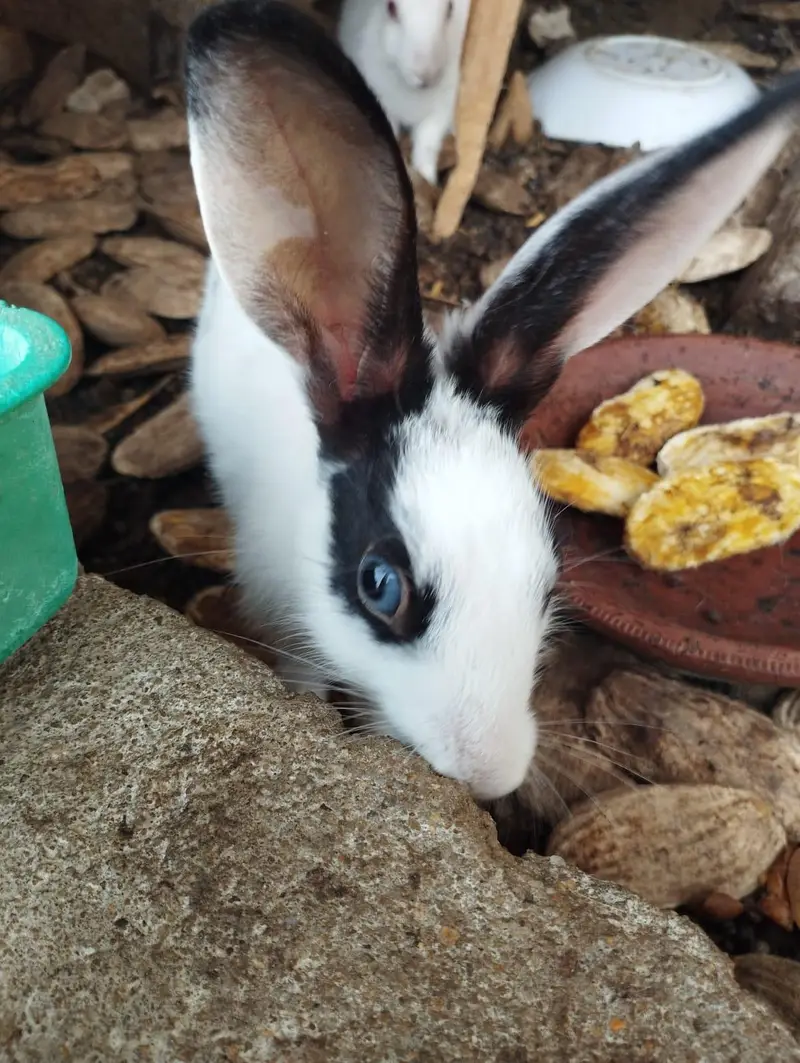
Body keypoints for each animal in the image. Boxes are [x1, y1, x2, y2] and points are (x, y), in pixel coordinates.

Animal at [337, 0, 470, 184]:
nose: (425, 76)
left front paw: (427, 177)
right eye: (391, 7)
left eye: (451, 8)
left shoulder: (440, 113)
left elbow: (426, 146)